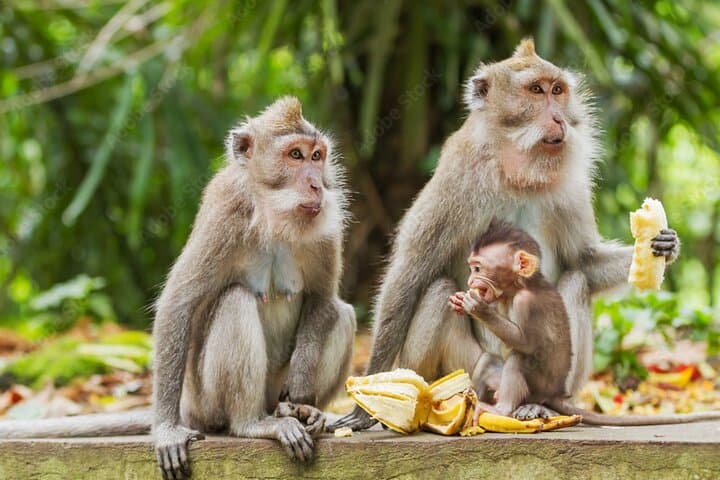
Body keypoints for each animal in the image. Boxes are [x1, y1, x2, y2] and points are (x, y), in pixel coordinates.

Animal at [0, 97, 357, 480]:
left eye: (317, 156)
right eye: (295, 155)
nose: (317, 185)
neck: (274, 217)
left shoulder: (327, 228)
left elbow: (322, 299)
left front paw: (303, 392)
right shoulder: (224, 214)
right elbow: (178, 304)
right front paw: (167, 430)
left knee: (342, 313)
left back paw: (305, 412)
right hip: (207, 401)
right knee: (234, 300)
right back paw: (251, 424)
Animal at [329, 38, 681, 432]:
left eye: (558, 91)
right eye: (536, 90)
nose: (559, 117)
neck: (519, 171)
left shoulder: (570, 186)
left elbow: (583, 261)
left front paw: (662, 245)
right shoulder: (457, 177)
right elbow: (409, 274)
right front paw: (366, 403)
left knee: (575, 281)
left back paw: (544, 403)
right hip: (458, 368)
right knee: (436, 292)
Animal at [451, 219, 720, 426]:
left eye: (477, 268)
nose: (471, 280)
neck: (520, 285)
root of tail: (556, 395)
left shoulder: (526, 303)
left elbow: (524, 342)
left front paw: (479, 308)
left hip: (539, 389)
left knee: (518, 359)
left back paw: (502, 409)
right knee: (489, 361)